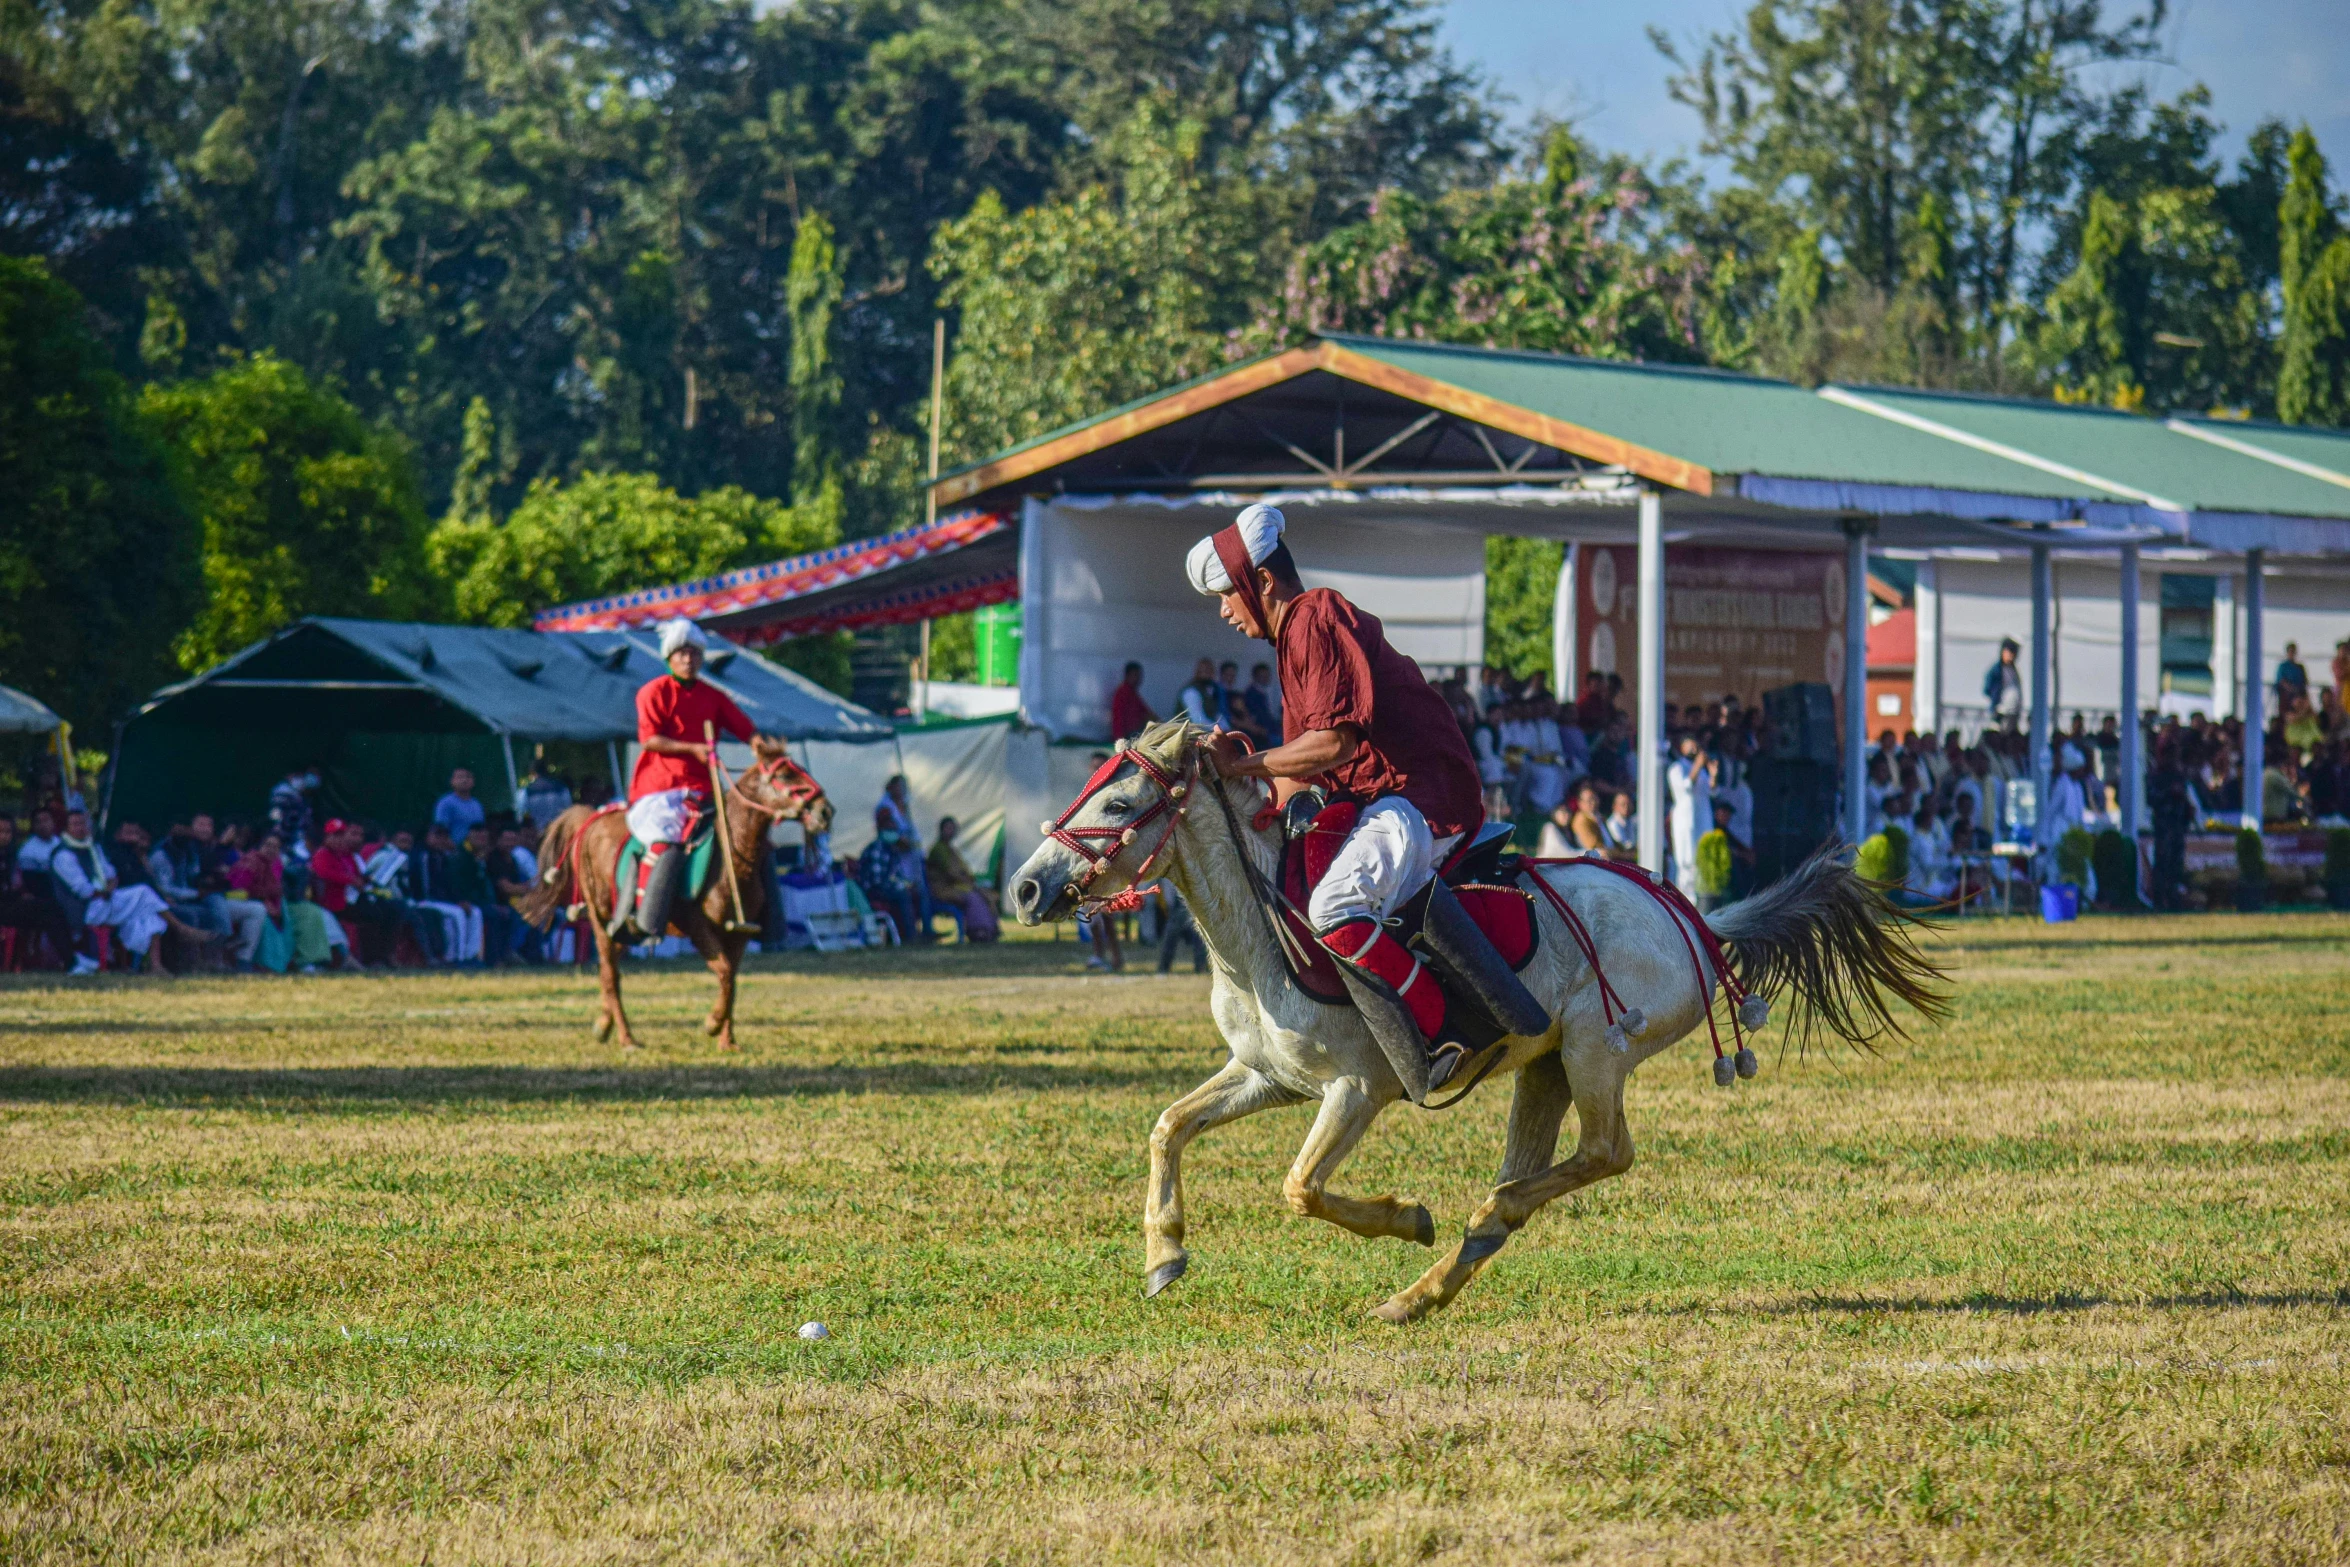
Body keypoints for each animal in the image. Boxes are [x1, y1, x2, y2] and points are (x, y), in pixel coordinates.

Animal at [526, 737, 836, 1052]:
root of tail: (592, 819)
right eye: (784, 775)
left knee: (608, 968)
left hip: (625, 927)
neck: (732, 853)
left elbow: (732, 979)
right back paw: (626, 1037)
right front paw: (713, 1023)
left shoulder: (739, 933)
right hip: (601, 918)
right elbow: (725, 972)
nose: (825, 811)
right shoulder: (697, 926)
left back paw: (604, 1023)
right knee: (611, 974)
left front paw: (727, 1040)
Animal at [1001, 718, 1936, 1325]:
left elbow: (1300, 1187)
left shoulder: (1355, 1089)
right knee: (1543, 1171)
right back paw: (1427, 1285)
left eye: (1118, 803)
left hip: (1596, 1050)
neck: (1260, 935)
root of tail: (1693, 917)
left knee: (1606, 1152)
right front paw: (1163, 1253)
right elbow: (1168, 1125)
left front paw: (1407, 1216)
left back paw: (1479, 1216)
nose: (1025, 887)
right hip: (1546, 1065)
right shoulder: (1267, 1075)